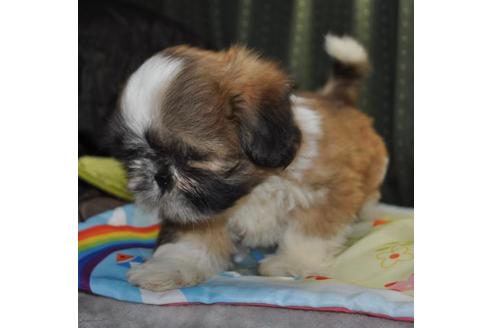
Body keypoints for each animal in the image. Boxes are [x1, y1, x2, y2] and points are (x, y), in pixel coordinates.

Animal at [110, 34, 388, 290]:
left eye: (193, 156)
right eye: (137, 153)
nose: (160, 176)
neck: (255, 186)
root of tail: (336, 98)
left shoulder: (328, 190)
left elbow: (309, 231)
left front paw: (291, 262)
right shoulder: (198, 208)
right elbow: (191, 240)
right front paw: (170, 267)